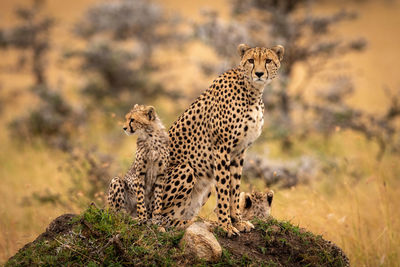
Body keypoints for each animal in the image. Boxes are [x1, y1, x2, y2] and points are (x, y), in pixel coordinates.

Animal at [159, 43, 284, 237]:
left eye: (268, 61)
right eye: (251, 60)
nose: (259, 73)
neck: (252, 92)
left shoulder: (239, 152)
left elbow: (235, 187)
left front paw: (238, 221)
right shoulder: (221, 149)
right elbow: (225, 189)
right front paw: (226, 225)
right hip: (185, 169)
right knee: (159, 217)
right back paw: (187, 223)